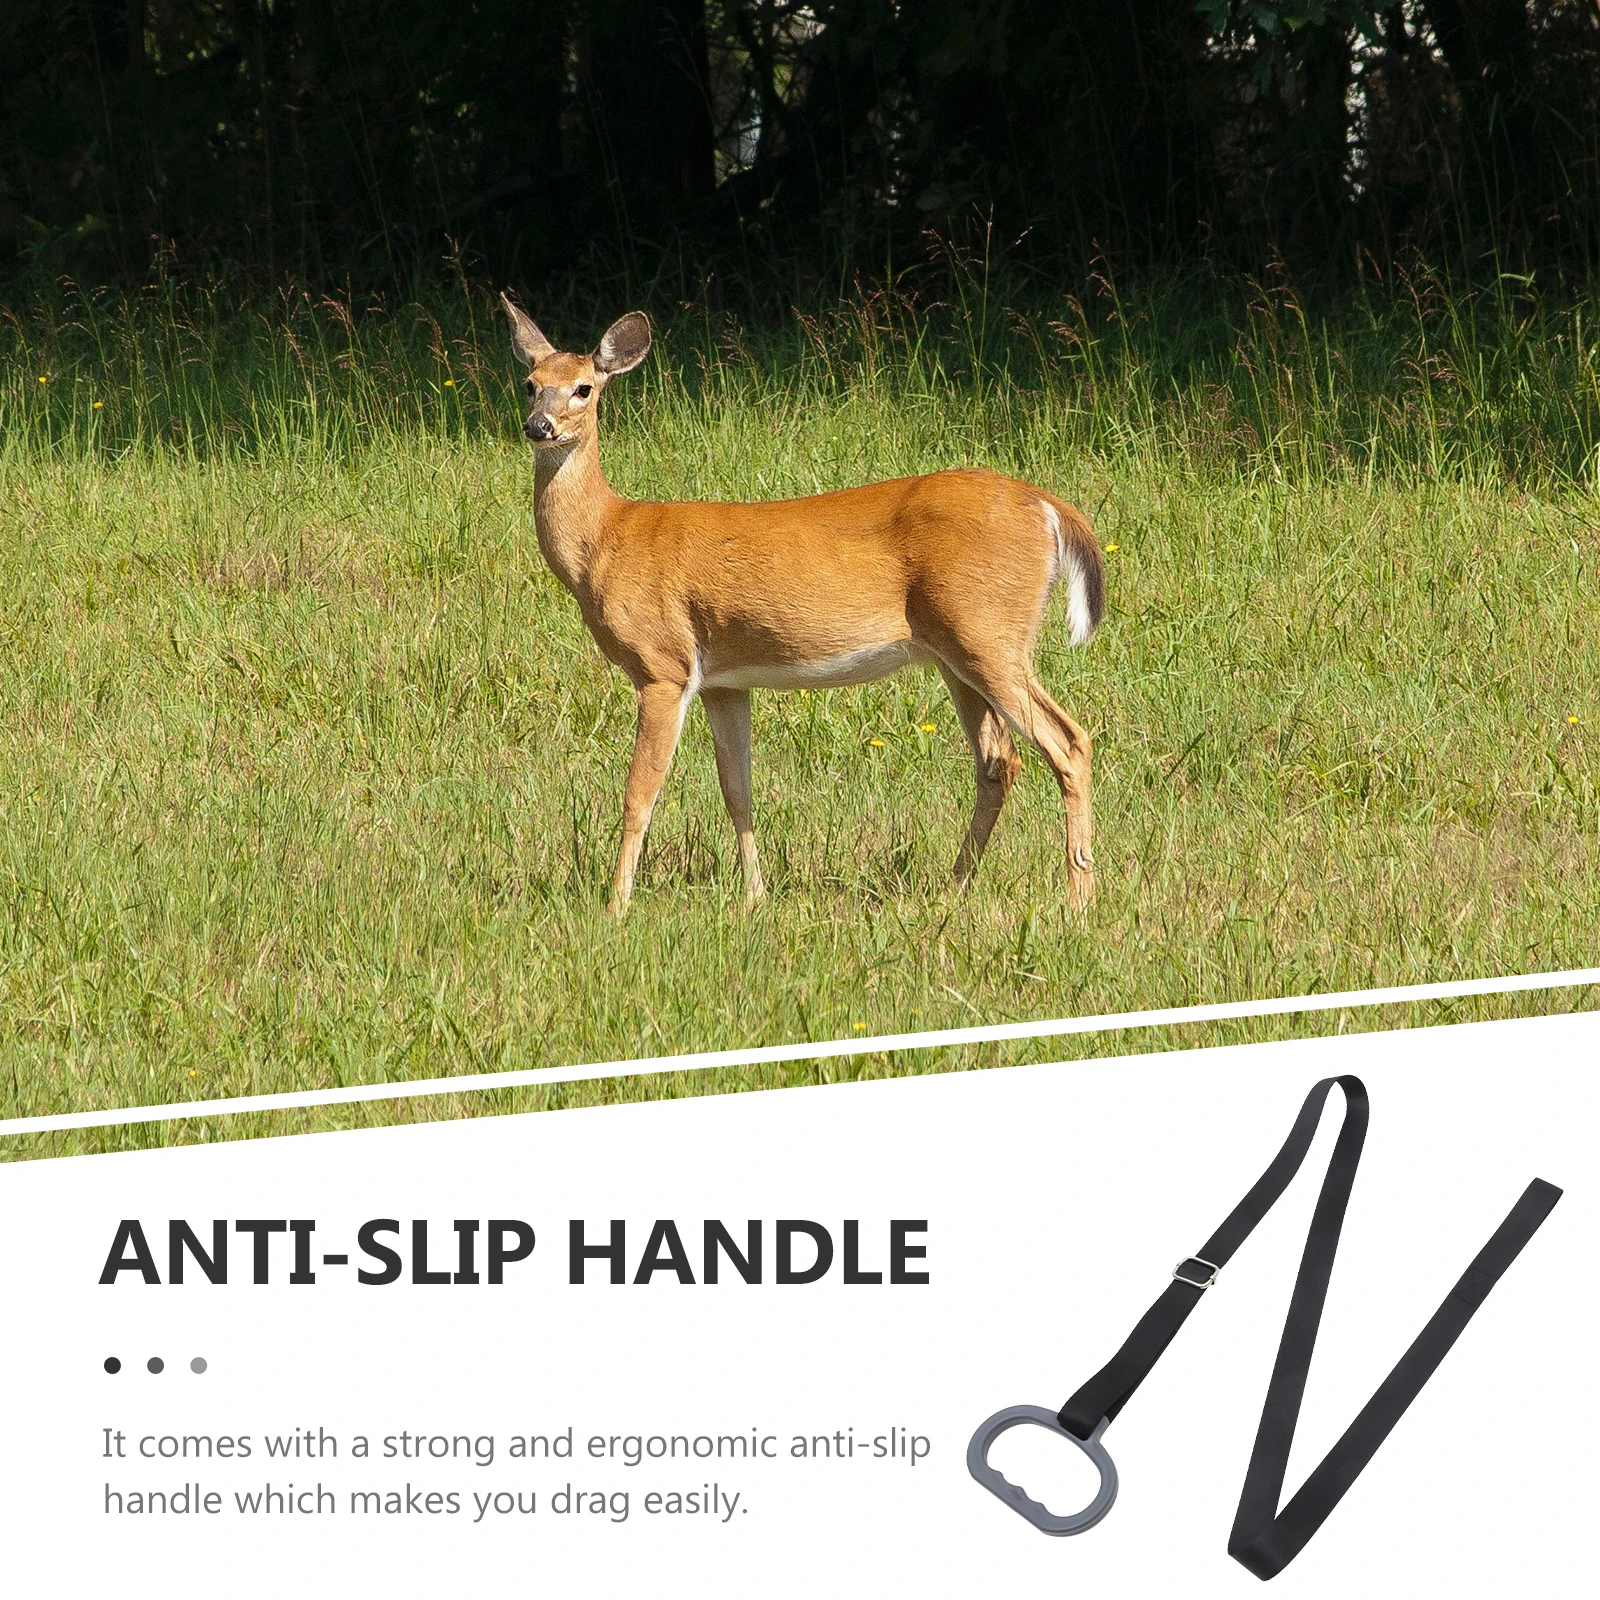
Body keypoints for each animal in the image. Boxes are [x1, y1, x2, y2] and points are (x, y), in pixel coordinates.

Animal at [502, 296, 1106, 917]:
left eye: (583, 388)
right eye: (529, 384)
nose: (538, 426)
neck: (607, 539)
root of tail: (1048, 506)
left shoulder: (662, 665)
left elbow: (639, 794)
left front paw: (615, 905)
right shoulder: (723, 680)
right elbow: (737, 790)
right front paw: (755, 896)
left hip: (988, 631)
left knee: (1069, 742)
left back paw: (1079, 897)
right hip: (955, 651)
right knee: (998, 760)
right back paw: (953, 888)